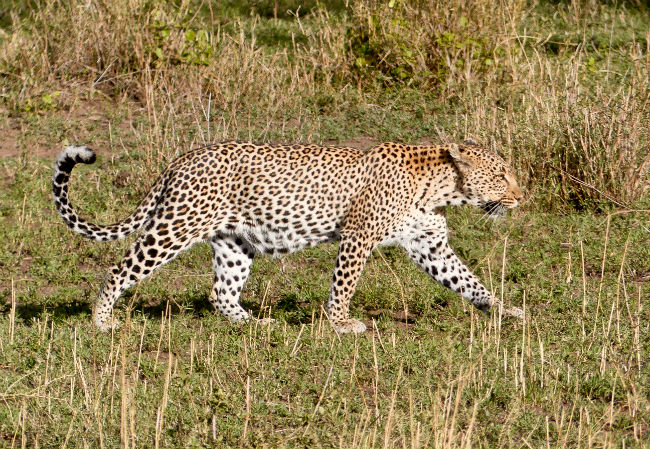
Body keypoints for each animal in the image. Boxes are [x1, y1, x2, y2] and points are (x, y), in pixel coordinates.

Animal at [53, 140, 524, 332]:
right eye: (501, 175)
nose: (522, 196)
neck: (441, 189)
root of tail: (180, 160)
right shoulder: (358, 237)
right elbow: (344, 285)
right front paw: (341, 324)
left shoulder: (431, 245)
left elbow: (468, 281)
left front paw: (505, 311)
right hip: (176, 227)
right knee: (119, 269)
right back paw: (102, 320)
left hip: (235, 243)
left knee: (221, 293)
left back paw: (256, 324)